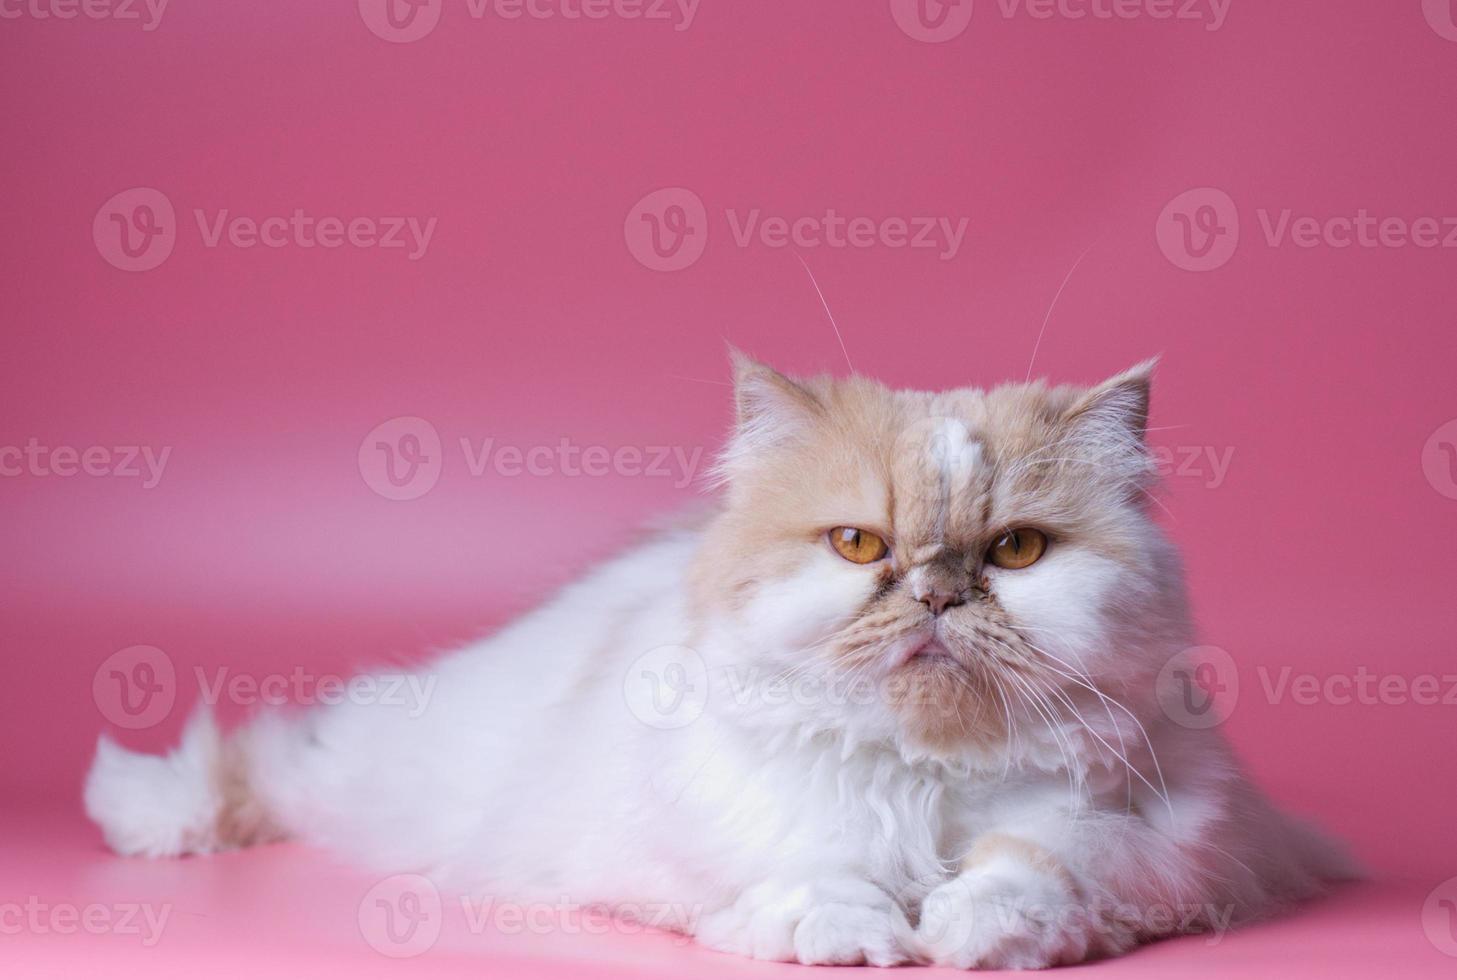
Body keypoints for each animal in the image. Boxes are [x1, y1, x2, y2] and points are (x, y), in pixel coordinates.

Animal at [85, 352, 1346, 961]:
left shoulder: (1160, 842)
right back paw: (155, 814)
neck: (918, 771)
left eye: (1016, 551)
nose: (937, 590)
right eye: (857, 545)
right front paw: (857, 936)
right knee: (268, 762)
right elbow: (804, 870)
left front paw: (964, 933)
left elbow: (1028, 871)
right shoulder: (710, 831)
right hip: (382, 778)